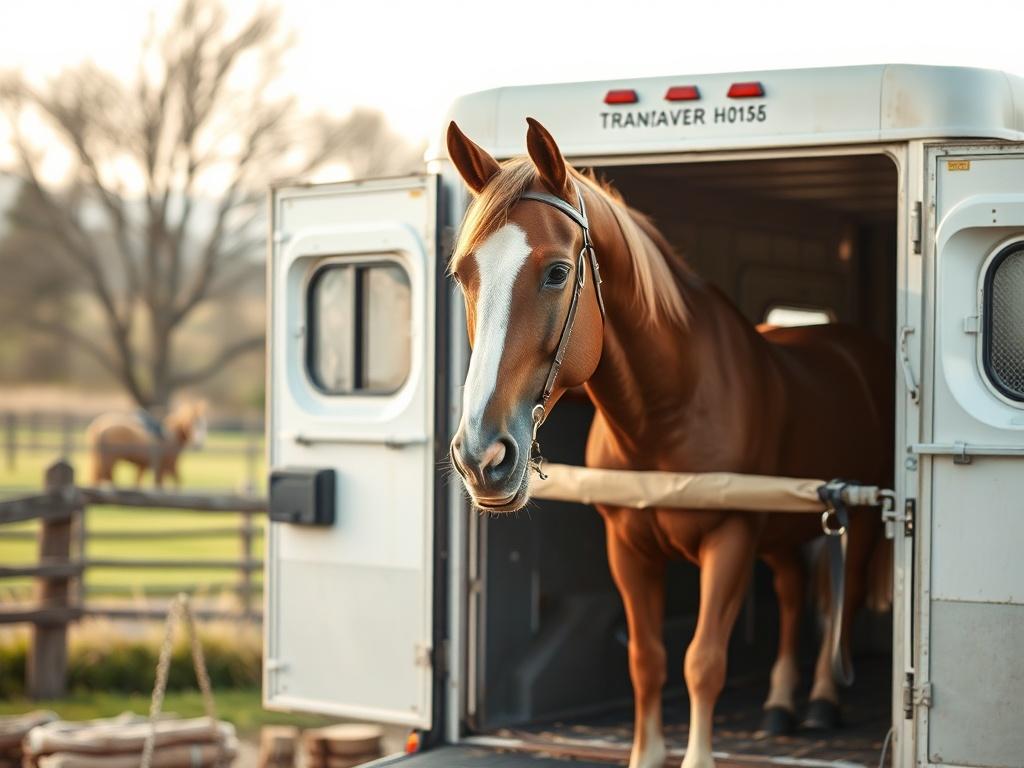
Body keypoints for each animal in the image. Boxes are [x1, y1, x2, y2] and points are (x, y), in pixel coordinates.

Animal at [446, 118, 892, 768]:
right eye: (463, 274)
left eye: (557, 272)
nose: (482, 456)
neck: (666, 413)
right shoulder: (629, 550)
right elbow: (646, 660)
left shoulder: (730, 540)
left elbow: (702, 662)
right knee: (790, 595)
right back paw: (781, 705)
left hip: (851, 526)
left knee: (844, 598)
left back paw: (821, 701)